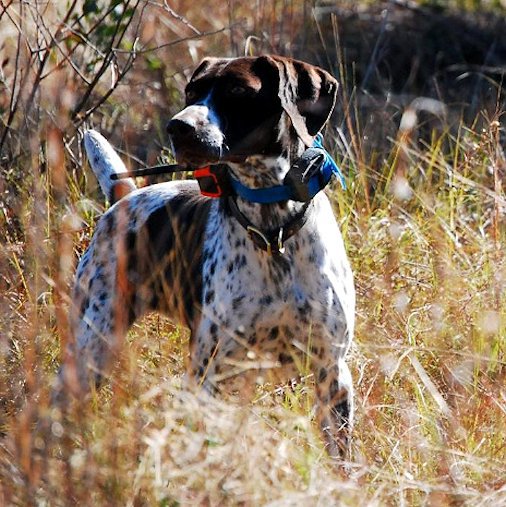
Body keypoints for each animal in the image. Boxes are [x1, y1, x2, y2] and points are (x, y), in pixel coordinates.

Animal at [58, 56, 356, 460]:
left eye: (238, 90)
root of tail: (124, 198)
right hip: (91, 348)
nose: (178, 127)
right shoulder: (209, 375)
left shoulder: (332, 372)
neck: (273, 231)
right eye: (190, 92)